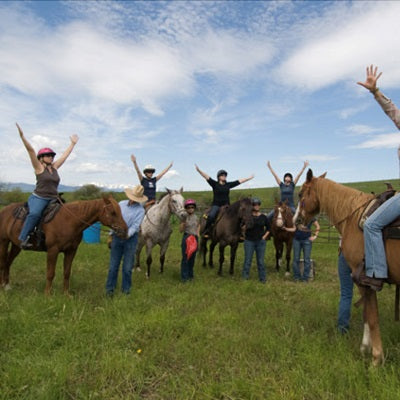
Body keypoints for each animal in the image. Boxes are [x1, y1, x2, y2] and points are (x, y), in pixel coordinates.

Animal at [296, 169, 400, 366]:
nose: (296, 220)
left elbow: (372, 317)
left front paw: (376, 358)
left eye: (300, 194)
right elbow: (367, 313)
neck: (354, 217)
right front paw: (365, 348)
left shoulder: (366, 280)